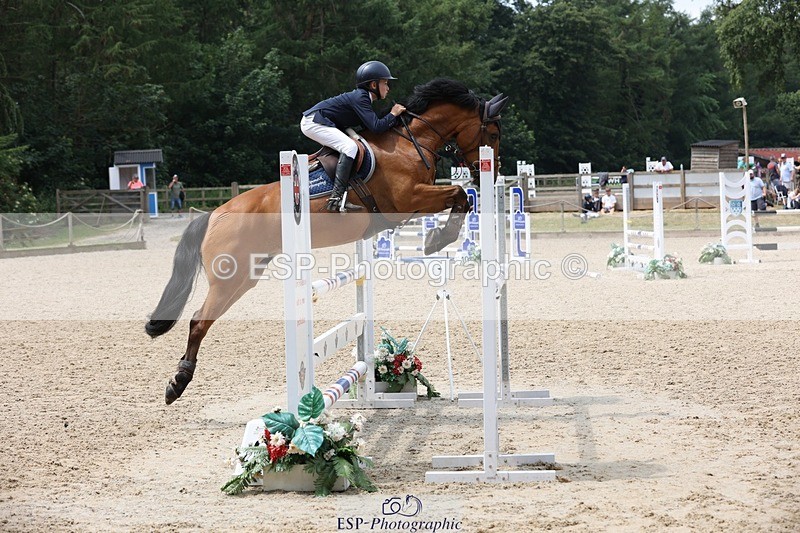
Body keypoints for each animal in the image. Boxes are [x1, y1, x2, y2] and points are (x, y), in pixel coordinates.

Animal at [145, 78, 507, 404]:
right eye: (492, 134)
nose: (489, 172)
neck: (412, 142)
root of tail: (214, 214)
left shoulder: (413, 203)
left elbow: (460, 198)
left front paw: (436, 237)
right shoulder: (408, 199)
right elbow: (458, 193)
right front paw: (437, 239)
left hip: (245, 276)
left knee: (205, 317)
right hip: (228, 278)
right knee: (198, 320)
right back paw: (177, 383)